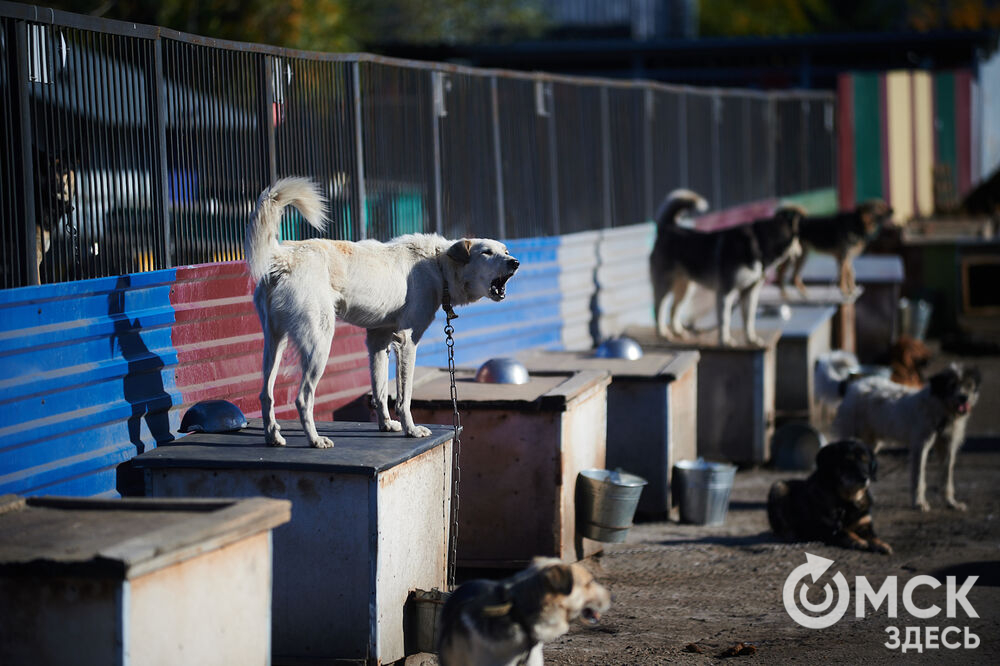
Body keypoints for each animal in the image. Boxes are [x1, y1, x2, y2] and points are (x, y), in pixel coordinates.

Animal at [246, 176, 520, 446]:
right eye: (487, 252)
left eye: (505, 251)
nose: (515, 262)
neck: (437, 264)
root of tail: (284, 257)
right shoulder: (407, 341)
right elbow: (403, 397)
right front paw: (411, 429)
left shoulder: (378, 340)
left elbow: (379, 390)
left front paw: (386, 425)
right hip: (319, 342)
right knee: (303, 397)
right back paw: (315, 439)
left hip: (274, 342)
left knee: (265, 393)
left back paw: (272, 435)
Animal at [648, 189, 804, 344]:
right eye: (798, 240)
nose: (801, 251)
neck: (757, 241)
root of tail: (667, 228)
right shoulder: (726, 292)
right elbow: (725, 319)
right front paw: (725, 341)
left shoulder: (750, 292)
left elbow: (749, 319)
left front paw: (751, 339)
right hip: (665, 285)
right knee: (659, 308)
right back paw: (663, 333)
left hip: (685, 288)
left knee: (674, 309)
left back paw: (678, 331)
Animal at [764, 438, 892, 552]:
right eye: (848, 461)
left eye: (865, 461)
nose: (864, 477)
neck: (846, 501)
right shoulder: (826, 529)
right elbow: (845, 532)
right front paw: (858, 541)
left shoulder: (865, 523)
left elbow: (873, 536)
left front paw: (882, 544)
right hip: (778, 486)